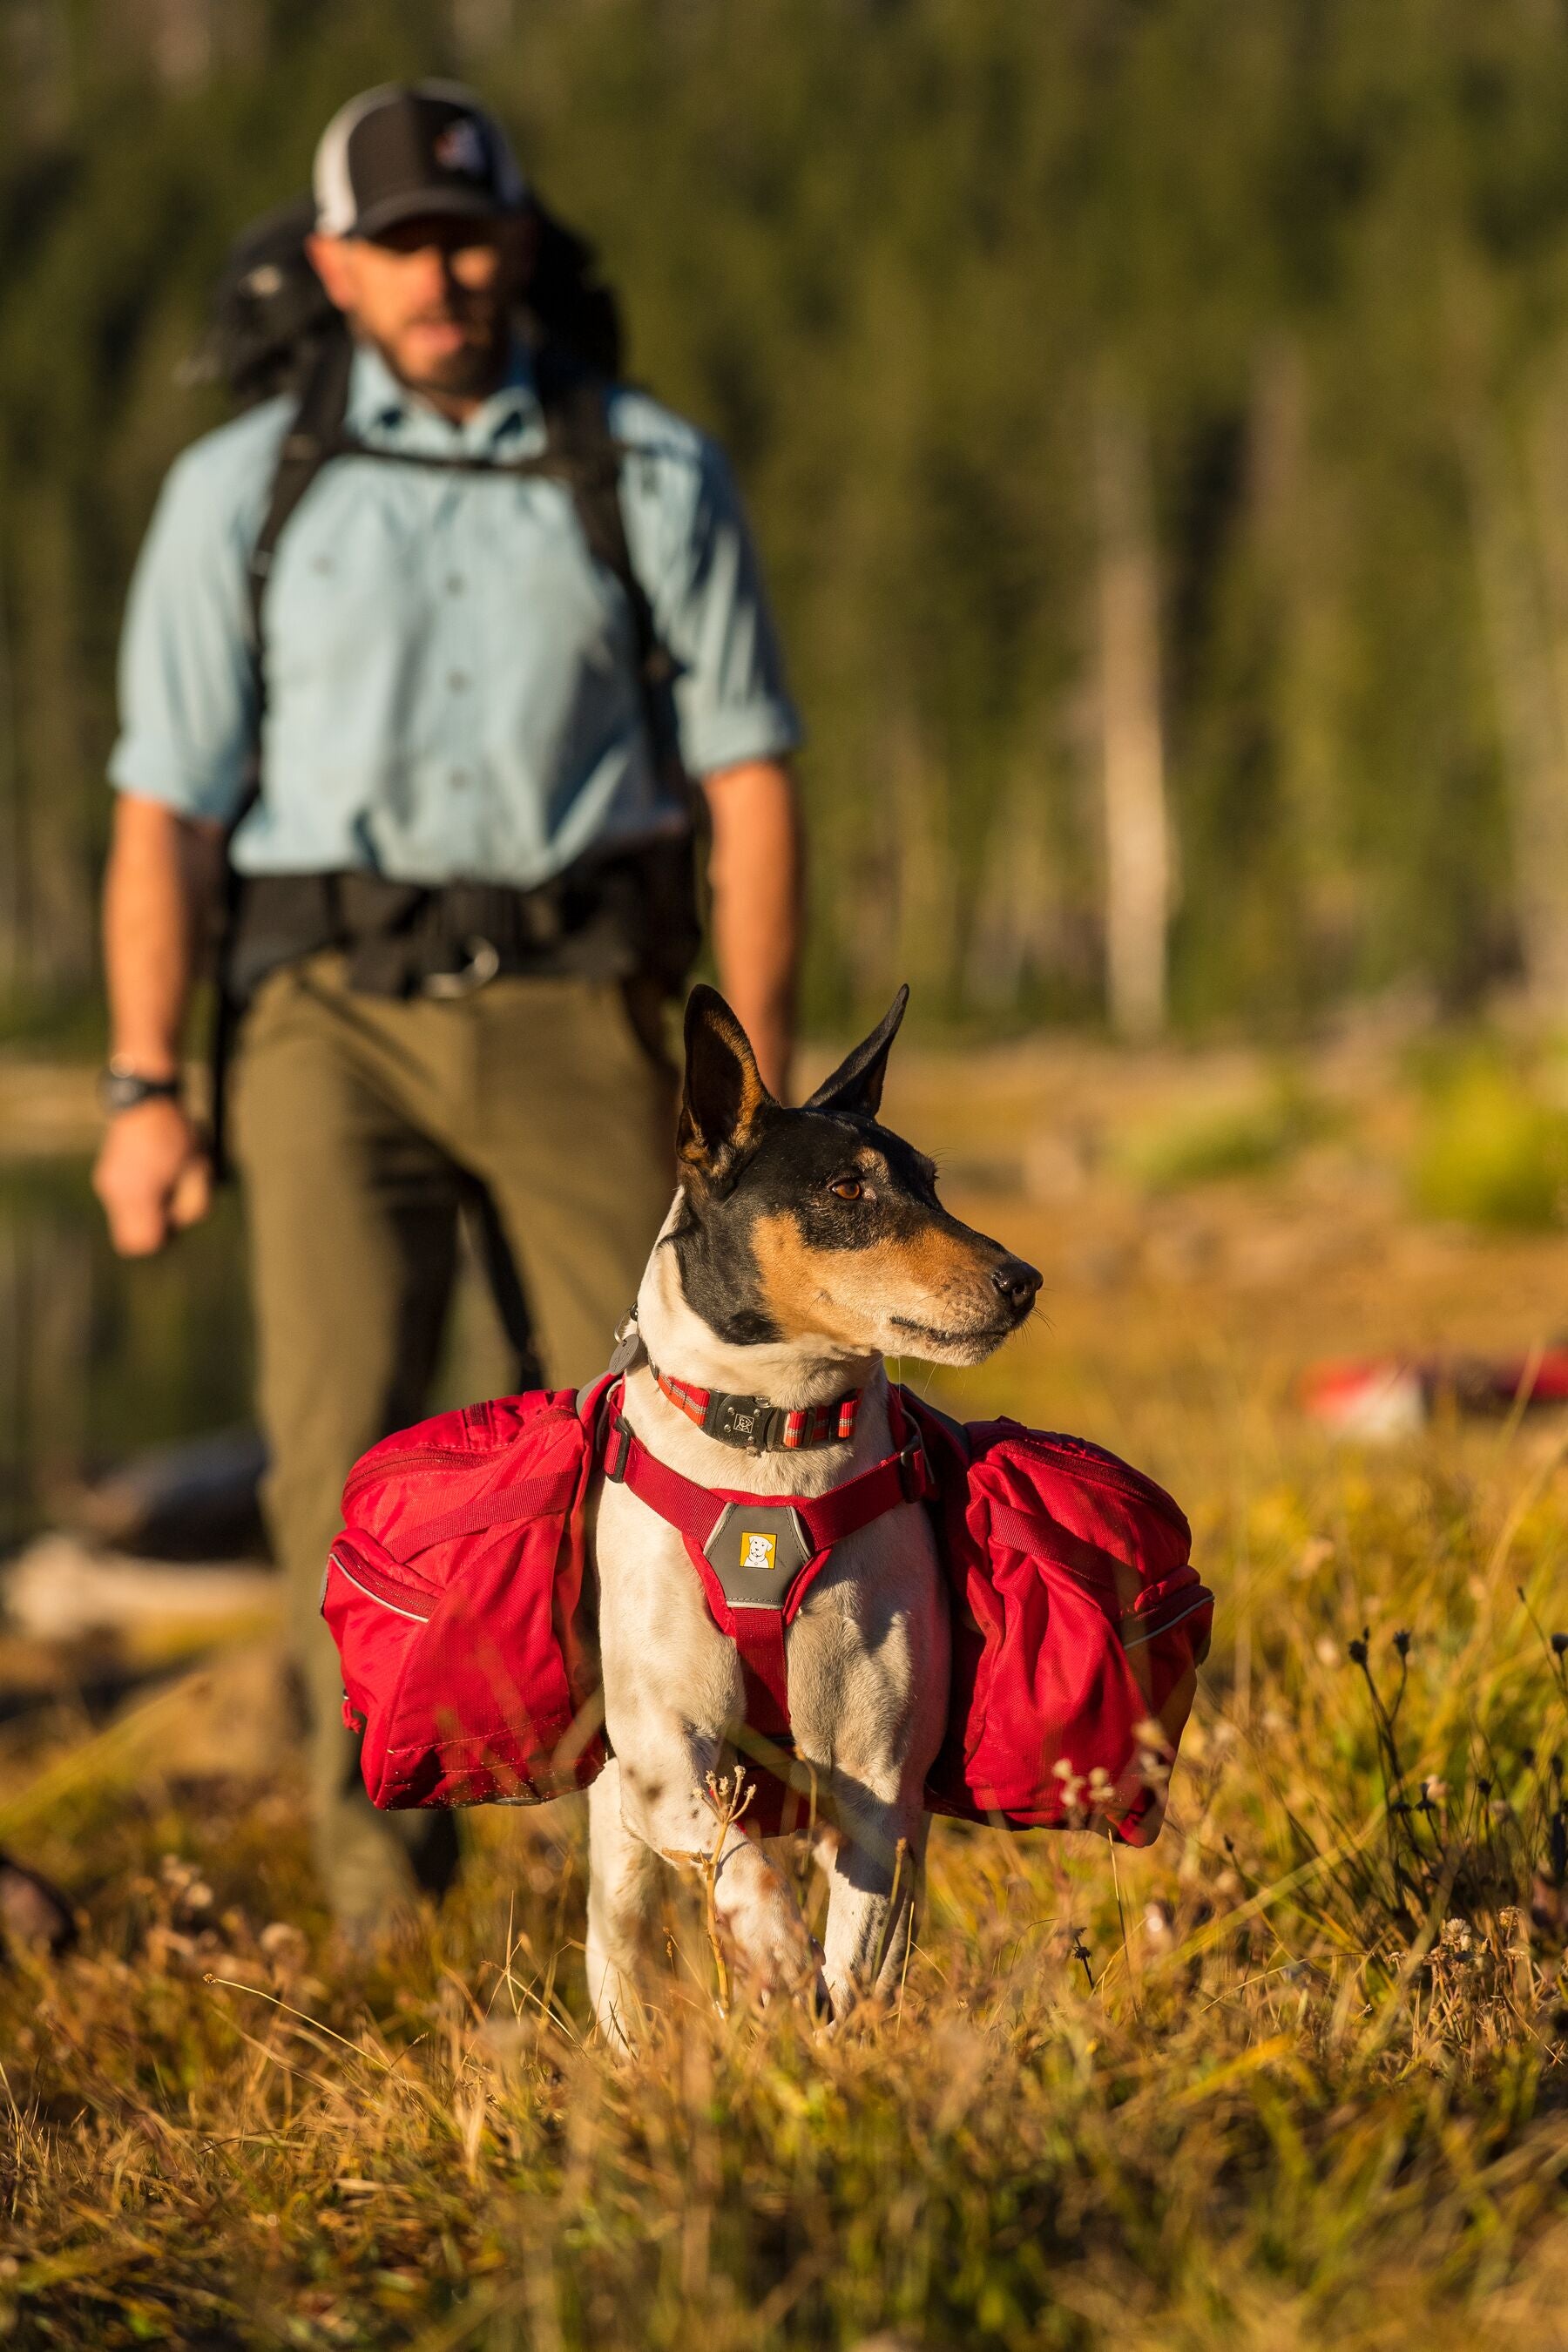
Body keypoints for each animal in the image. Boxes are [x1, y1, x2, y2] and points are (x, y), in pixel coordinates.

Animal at [583, 973, 1034, 2041]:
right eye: (846, 1190)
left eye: (933, 1184)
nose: (1023, 1282)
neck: (775, 1439)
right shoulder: (668, 1757)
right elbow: (742, 1872)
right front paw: (772, 1950)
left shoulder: (882, 1791)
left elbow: (858, 1968)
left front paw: (829, 2031)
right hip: (618, 1843)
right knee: (624, 1951)